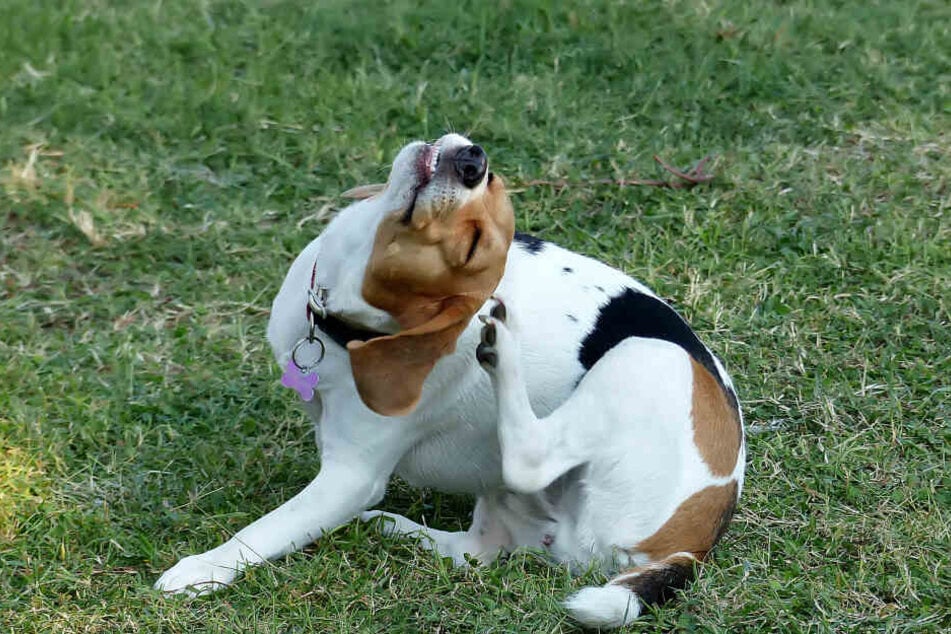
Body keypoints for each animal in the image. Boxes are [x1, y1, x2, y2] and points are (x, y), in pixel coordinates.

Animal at [156, 133, 748, 628]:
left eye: (469, 248)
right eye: (491, 181)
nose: (473, 161)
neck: (341, 323)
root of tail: (692, 545)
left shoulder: (350, 476)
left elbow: (265, 530)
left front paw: (202, 570)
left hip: (648, 357)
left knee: (530, 457)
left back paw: (501, 349)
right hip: (507, 503)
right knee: (475, 551)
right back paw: (391, 526)